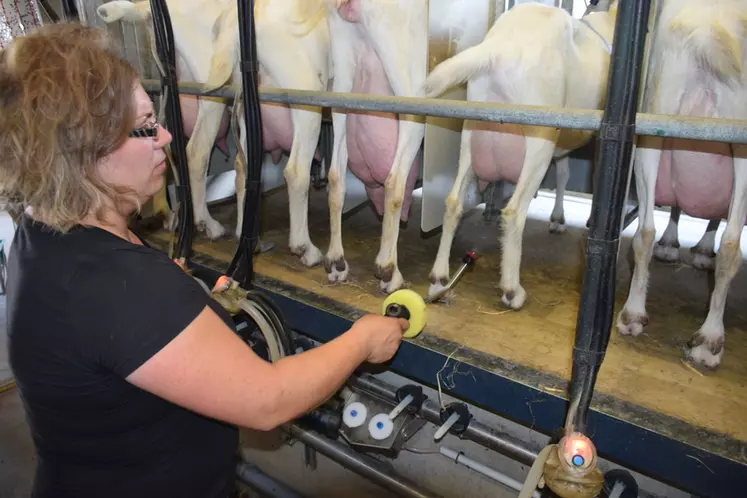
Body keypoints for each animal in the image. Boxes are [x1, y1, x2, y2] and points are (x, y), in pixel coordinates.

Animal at [324, 0, 430, 294]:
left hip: (342, 83)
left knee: (335, 176)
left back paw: (336, 262)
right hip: (409, 86)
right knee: (394, 181)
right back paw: (388, 271)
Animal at [420, 1, 620, 308]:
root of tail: (500, 47)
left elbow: (563, 174)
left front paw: (558, 218)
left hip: (471, 131)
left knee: (454, 201)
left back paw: (439, 278)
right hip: (539, 137)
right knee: (514, 212)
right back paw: (512, 290)